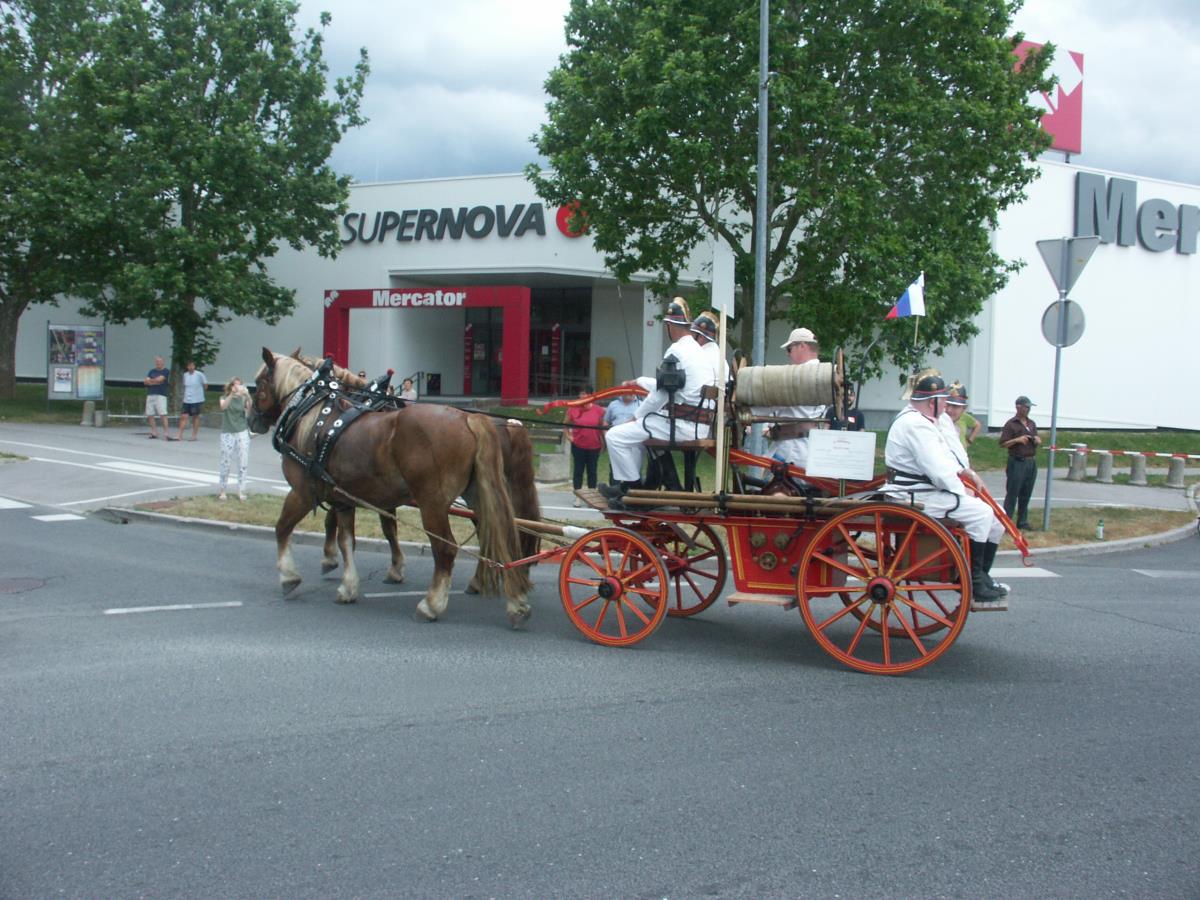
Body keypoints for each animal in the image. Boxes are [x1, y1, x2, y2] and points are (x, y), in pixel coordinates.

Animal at [249, 348, 533, 627]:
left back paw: (431, 604)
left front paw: (290, 576)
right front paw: (349, 585)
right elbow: (348, 539)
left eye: (258, 385)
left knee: (446, 548)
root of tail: (469, 419)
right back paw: (515, 601)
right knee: (499, 536)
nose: (252, 420)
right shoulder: (345, 498)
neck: (315, 418)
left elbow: (283, 528)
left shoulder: (303, 492)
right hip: (479, 494)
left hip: (432, 503)